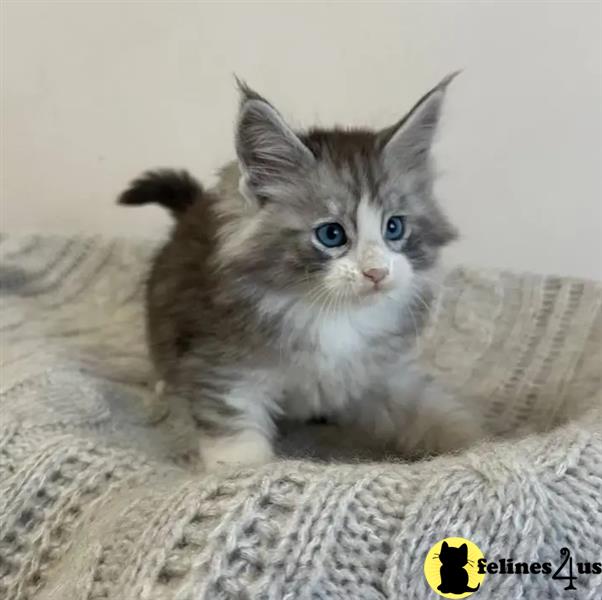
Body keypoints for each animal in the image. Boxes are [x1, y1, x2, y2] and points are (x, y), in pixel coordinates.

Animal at [118, 74, 482, 468]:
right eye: (332, 234)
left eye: (394, 227)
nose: (376, 272)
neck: (335, 316)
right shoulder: (221, 365)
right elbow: (235, 438)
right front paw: (247, 469)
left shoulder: (383, 372)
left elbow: (431, 409)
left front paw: (476, 448)